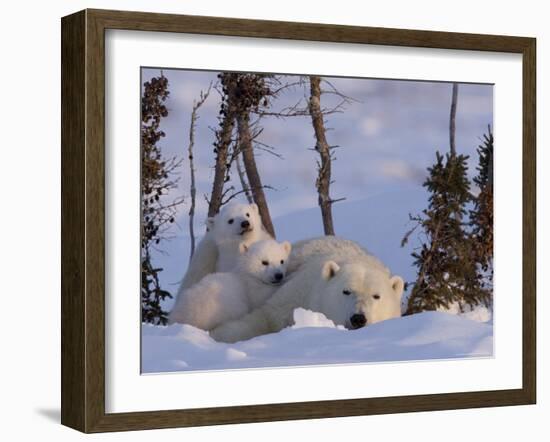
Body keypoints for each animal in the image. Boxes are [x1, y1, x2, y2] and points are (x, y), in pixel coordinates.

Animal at [211, 237, 406, 344]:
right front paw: (219, 334)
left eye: (376, 296)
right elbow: (263, 317)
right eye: (346, 291)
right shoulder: (298, 292)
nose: (358, 318)